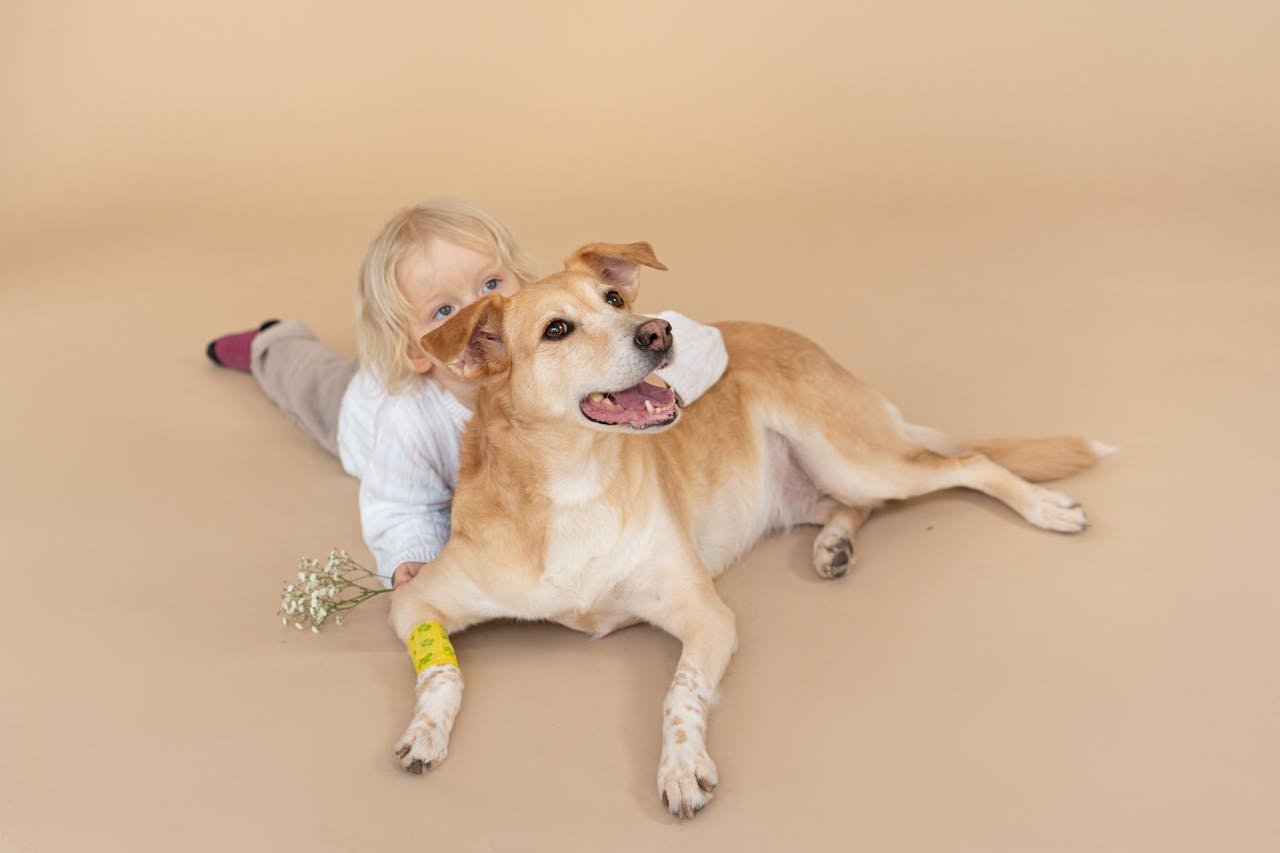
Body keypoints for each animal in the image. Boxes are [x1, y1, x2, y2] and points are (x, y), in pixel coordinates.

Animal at [391, 240, 1111, 819]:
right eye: (557, 329)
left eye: (615, 297)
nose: (657, 332)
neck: (574, 484)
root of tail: (803, 341)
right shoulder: (414, 602)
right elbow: (441, 671)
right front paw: (426, 731)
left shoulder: (707, 614)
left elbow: (680, 693)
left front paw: (682, 767)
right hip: (811, 487)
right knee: (864, 505)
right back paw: (834, 545)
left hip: (852, 457)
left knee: (967, 463)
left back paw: (1046, 507)